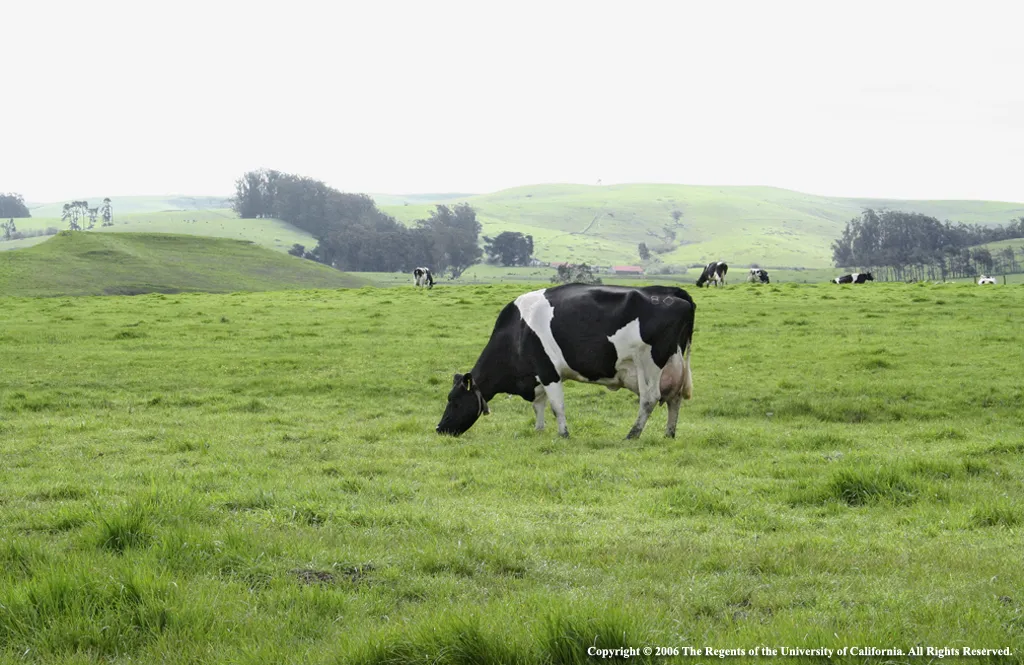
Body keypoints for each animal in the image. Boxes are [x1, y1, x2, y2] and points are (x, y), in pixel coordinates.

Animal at [436, 284, 696, 440]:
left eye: (455, 401)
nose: (439, 429)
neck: (518, 332)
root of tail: (672, 292)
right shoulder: (536, 376)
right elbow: (538, 405)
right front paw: (539, 430)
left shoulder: (548, 371)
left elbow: (556, 406)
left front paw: (563, 434)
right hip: (674, 364)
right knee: (674, 399)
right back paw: (669, 434)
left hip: (650, 362)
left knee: (649, 399)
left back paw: (632, 435)